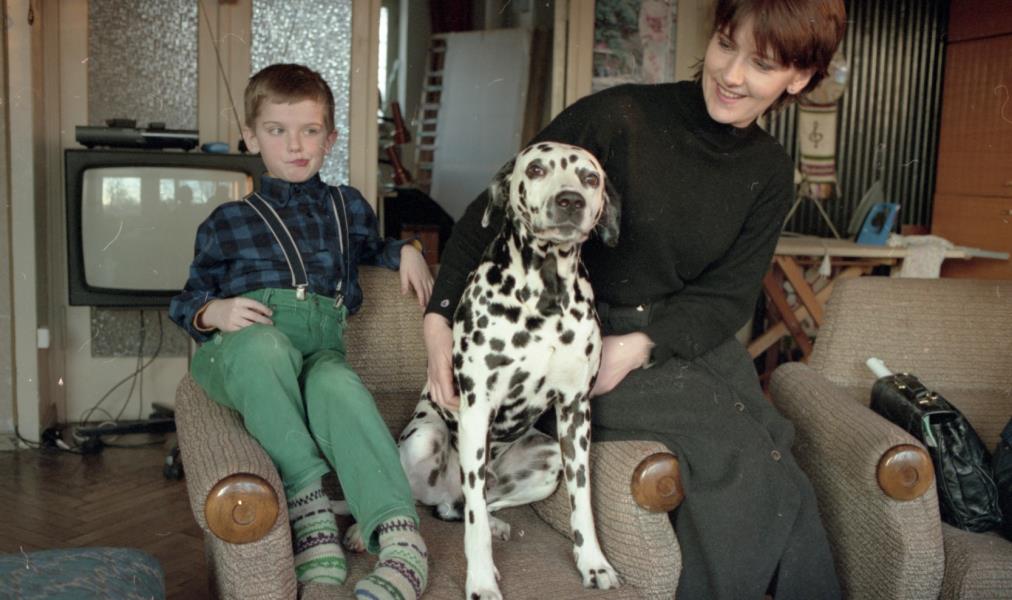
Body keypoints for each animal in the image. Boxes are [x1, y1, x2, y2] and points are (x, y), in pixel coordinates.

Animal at [398, 141, 621, 599]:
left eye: (590, 177)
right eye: (536, 169)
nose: (570, 200)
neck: (547, 295)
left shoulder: (576, 412)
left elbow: (583, 501)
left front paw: (593, 562)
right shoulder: (477, 408)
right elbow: (474, 527)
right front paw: (481, 580)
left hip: (548, 460)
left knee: (474, 505)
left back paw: (498, 522)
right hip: (423, 439)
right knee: (436, 504)